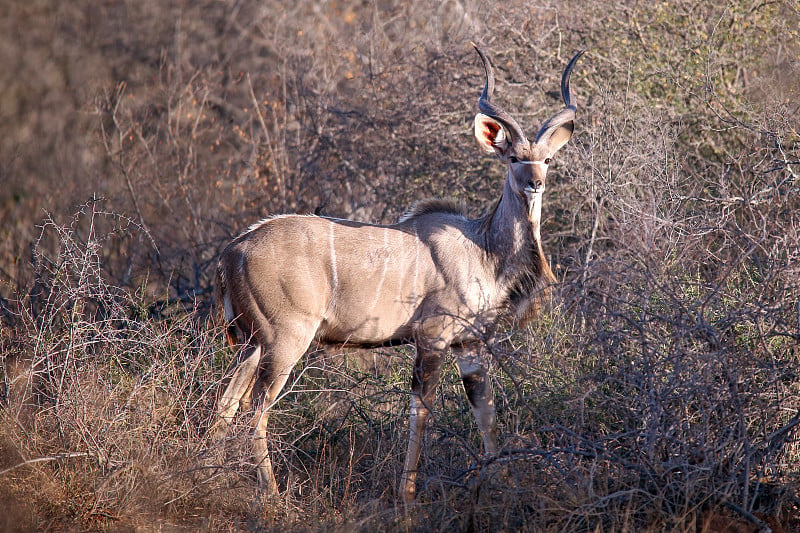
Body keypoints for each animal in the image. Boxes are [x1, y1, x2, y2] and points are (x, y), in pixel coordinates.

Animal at [216, 45, 584, 502]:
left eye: (547, 159)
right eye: (513, 157)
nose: (535, 183)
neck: (483, 249)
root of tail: (233, 251)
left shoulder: (469, 344)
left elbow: (486, 415)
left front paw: (501, 486)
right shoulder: (433, 338)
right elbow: (420, 413)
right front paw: (407, 496)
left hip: (251, 343)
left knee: (225, 405)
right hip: (285, 341)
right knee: (255, 409)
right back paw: (271, 498)